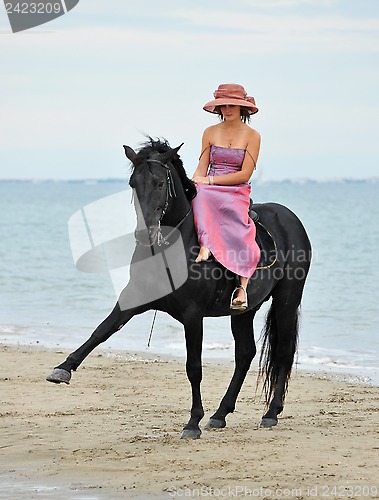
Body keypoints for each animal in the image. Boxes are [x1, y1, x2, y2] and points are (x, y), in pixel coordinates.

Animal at [47, 139, 312, 440]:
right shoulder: (133, 299)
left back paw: (270, 413)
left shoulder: (193, 315)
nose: (145, 234)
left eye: (161, 183)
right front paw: (63, 369)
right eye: (132, 183)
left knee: (283, 351)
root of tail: (290, 218)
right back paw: (220, 414)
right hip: (244, 310)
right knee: (245, 353)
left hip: (287, 299)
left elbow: (193, 367)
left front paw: (193, 422)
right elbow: (101, 330)